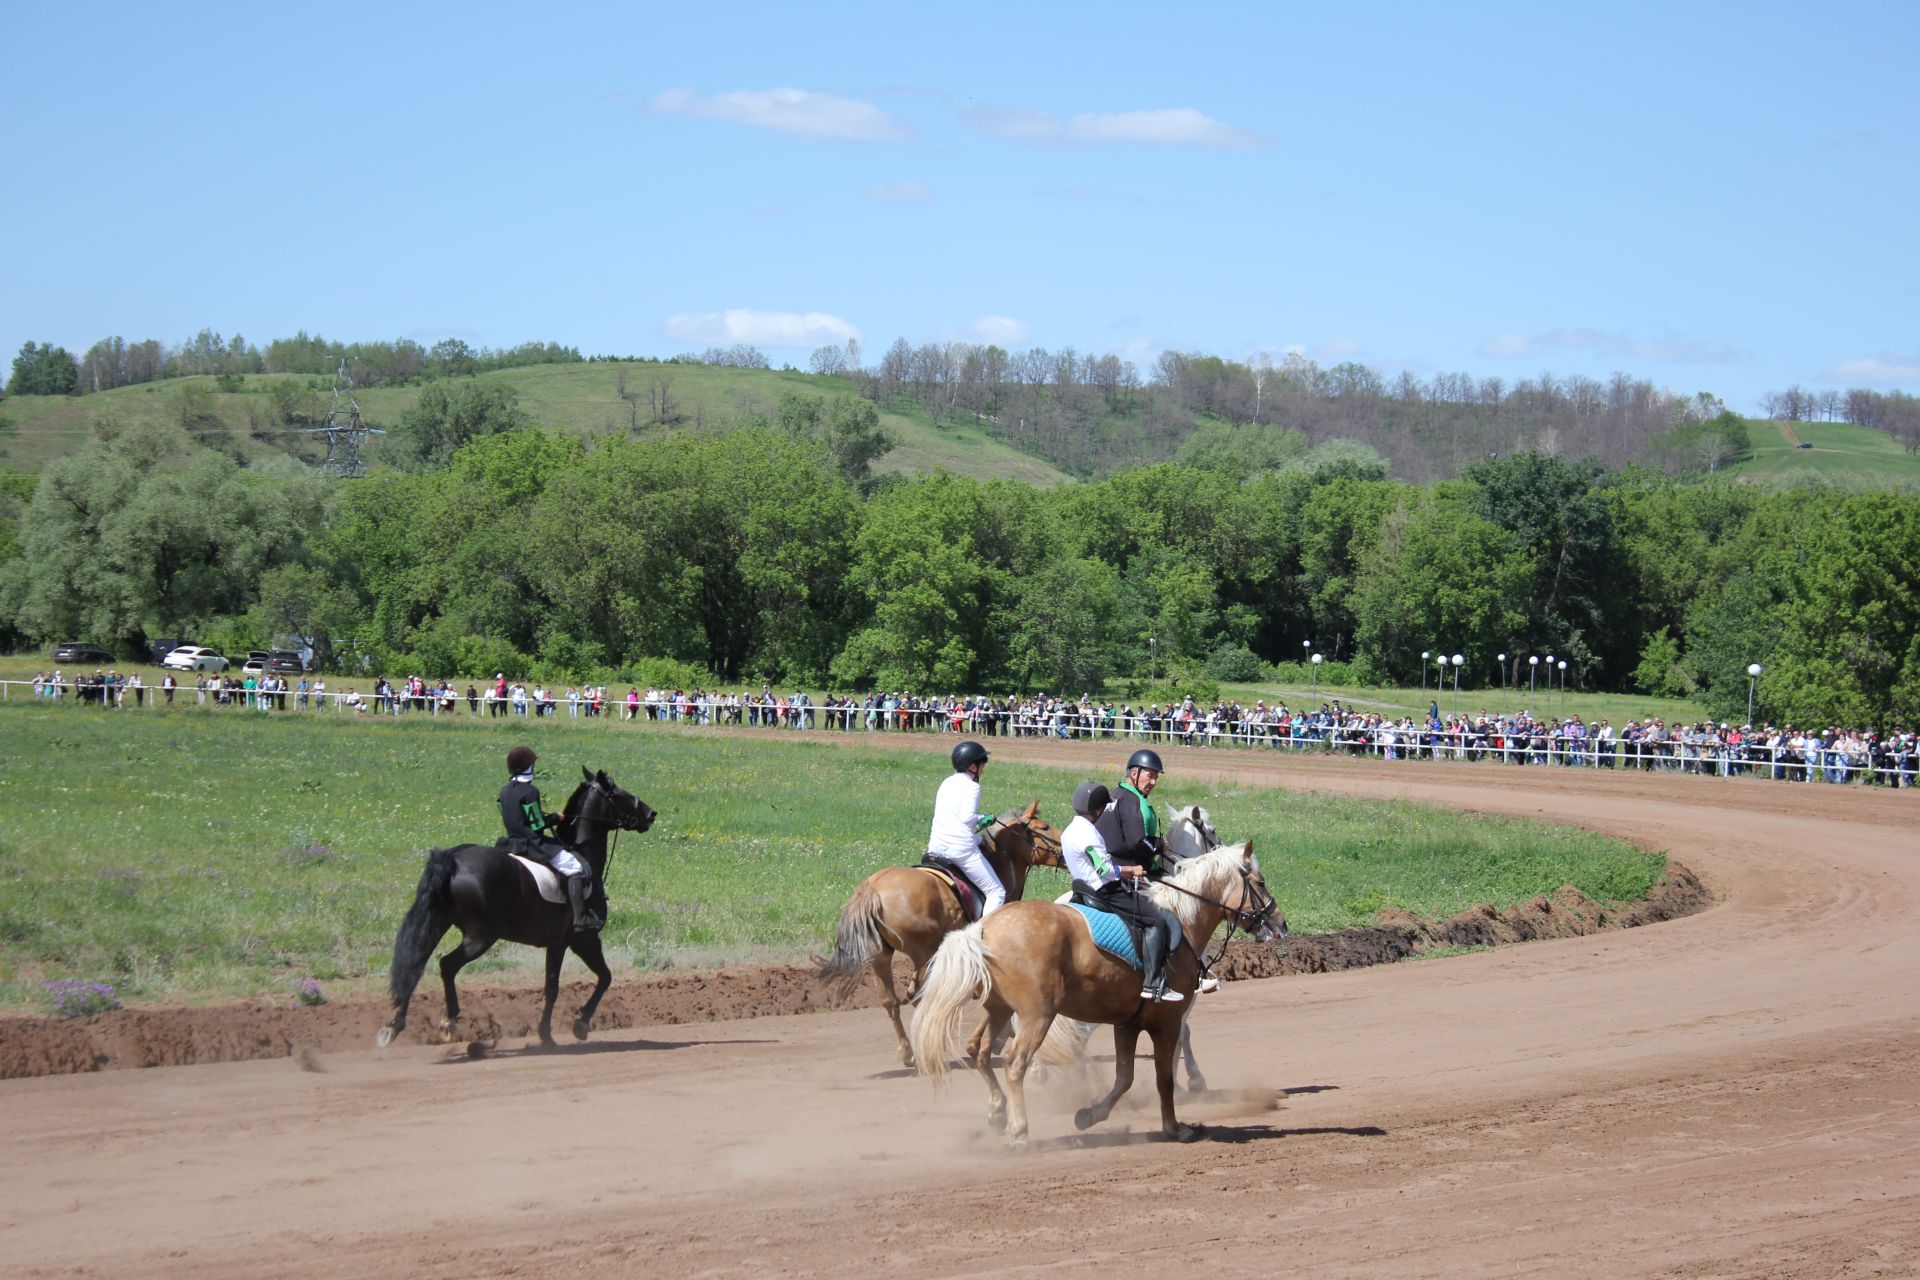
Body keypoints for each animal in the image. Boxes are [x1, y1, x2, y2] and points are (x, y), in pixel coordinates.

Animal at [374, 771, 660, 1051]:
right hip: (481, 936)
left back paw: (394, 1026)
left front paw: (546, 1035)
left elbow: (552, 986)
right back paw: (449, 1021)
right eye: (619, 794)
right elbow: (603, 977)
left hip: (438, 924)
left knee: (414, 967)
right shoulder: (582, 939)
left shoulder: (556, 943)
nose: (651, 813)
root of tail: (453, 859)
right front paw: (578, 1026)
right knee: (447, 965)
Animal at [817, 802, 1067, 1074]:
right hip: (923, 952)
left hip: (882, 955)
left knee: (892, 1001)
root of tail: (872, 886)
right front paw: (1001, 1035)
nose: (1066, 850)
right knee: (919, 996)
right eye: (1044, 827)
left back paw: (909, 1052)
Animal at [910, 840, 1290, 1151]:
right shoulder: (1166, 1022)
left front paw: (1090, 1115)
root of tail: (984, 927)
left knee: (979, 1050)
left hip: (999, 1009)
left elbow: (1125, 1078)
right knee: (1015, 1063)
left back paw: (998, 1112)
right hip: (1036, 1015)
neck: (1180, 918)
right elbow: (1163, 1078)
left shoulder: (1127, 1024)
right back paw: (1020, 1132)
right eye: (1260, 882)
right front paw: (1174, 1127)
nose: (1281, 923)